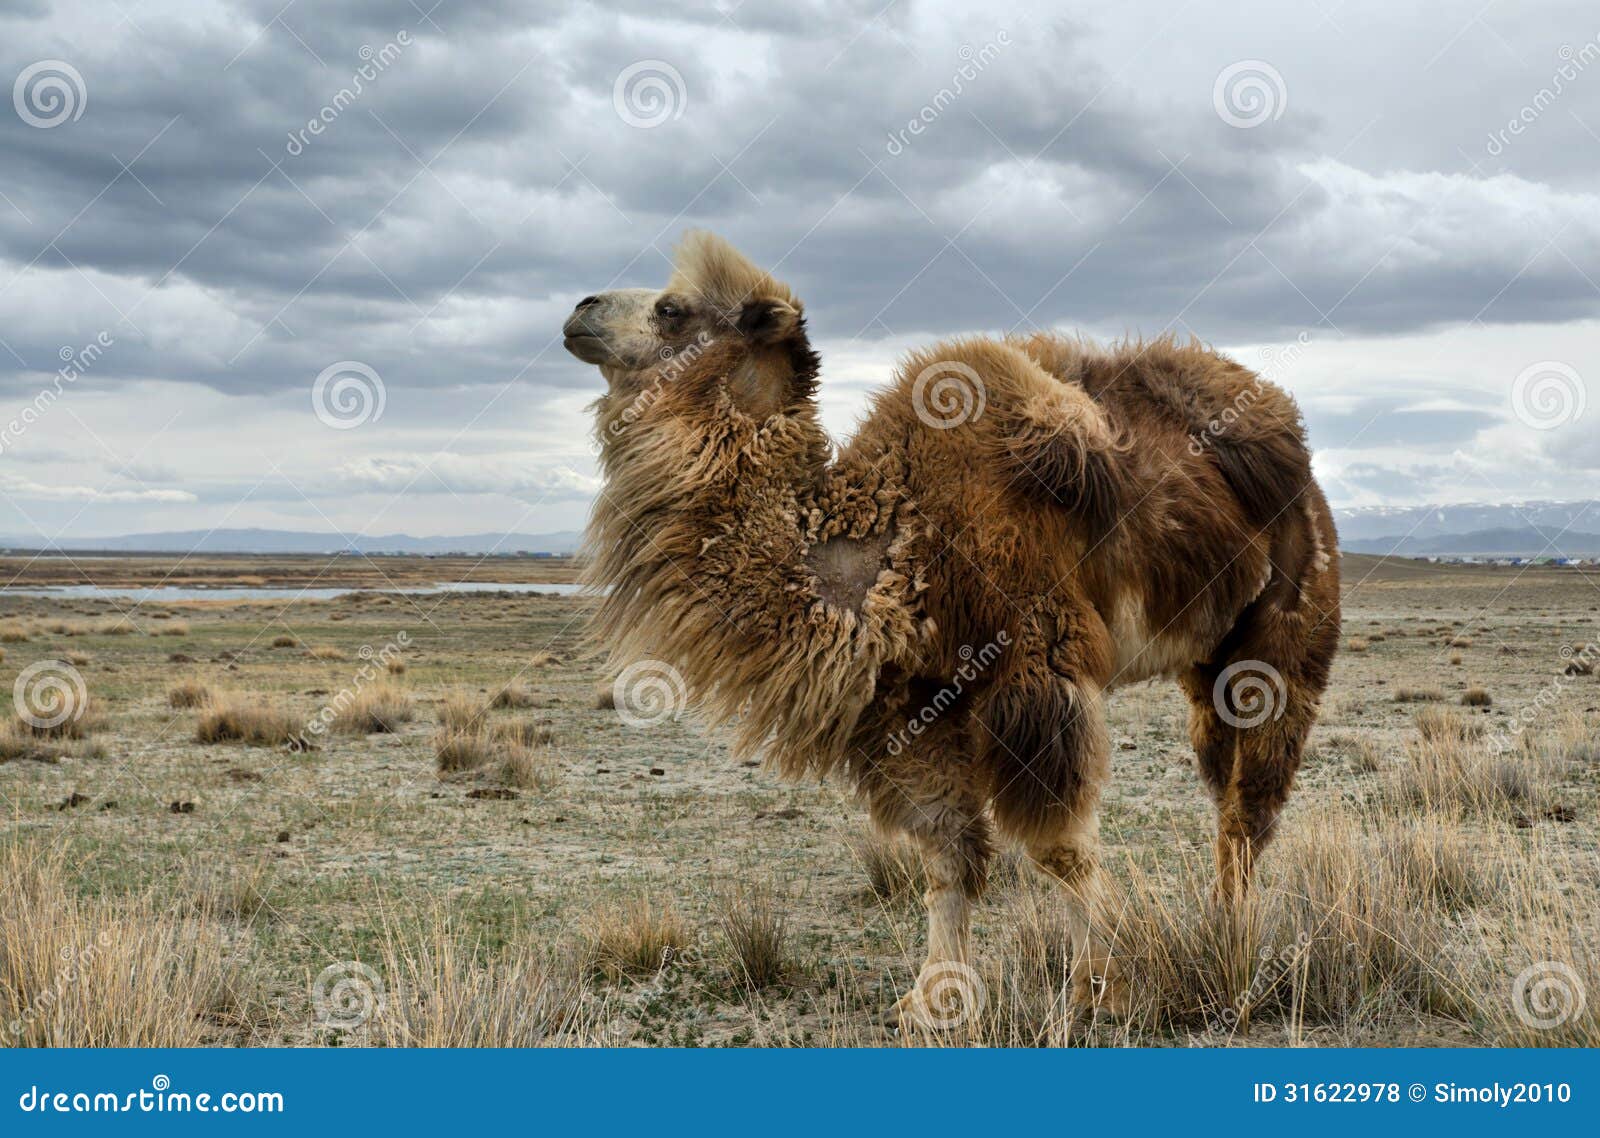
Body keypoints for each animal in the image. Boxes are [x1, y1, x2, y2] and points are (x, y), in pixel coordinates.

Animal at [563, 232, 1337, 1024]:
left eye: (673, 309)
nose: (580, 311)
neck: (899, 541)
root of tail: (1297, 456)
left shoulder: (1036, 668)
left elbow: (1058, 846)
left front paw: (1107, 986)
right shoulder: (912, 699)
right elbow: (945, 853)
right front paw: (934, 997)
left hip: (1290, 621)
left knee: (1251, 799)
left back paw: (1235, 943)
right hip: (1206, 661)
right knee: (1221, 781)